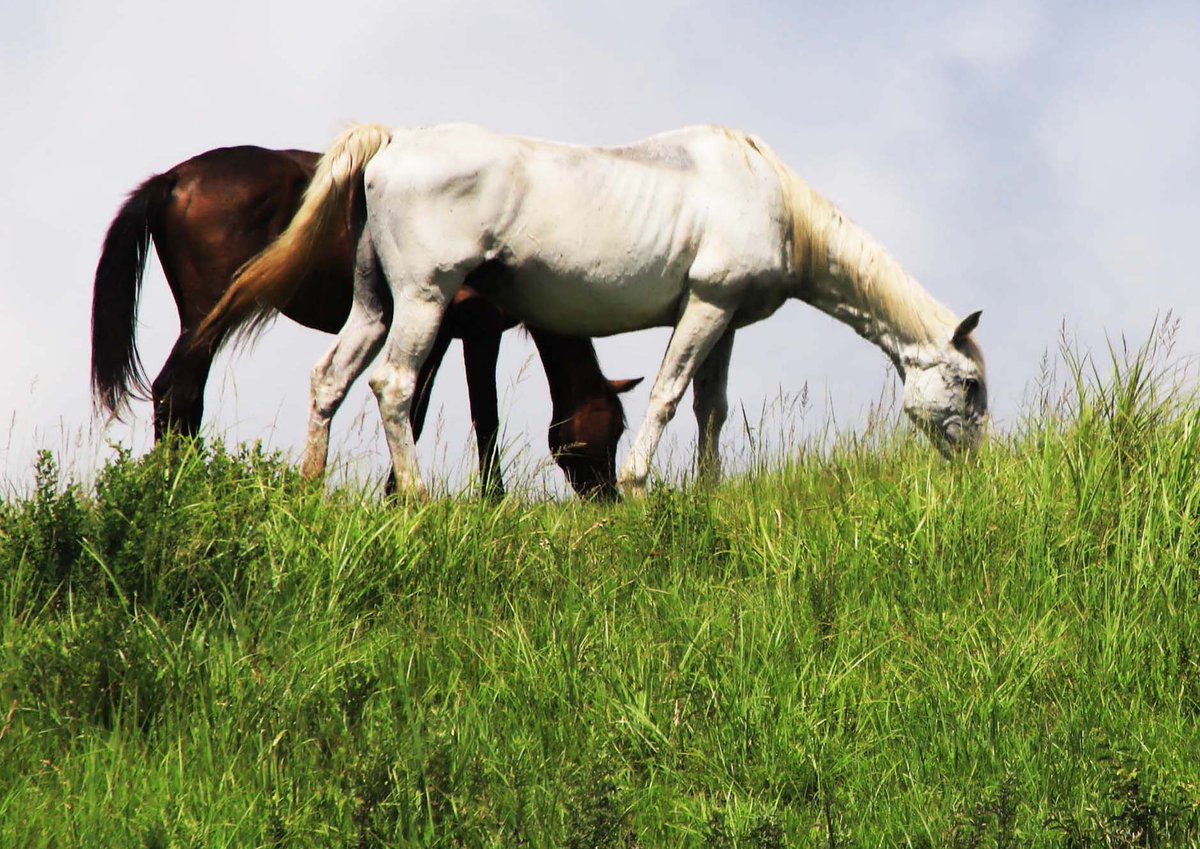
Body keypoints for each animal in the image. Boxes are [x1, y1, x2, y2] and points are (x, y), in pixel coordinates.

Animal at [90, 144, 641, 499]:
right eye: (613, 430)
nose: (609, 500)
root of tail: (173, 179)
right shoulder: (475, 330)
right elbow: (477, 417)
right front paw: (486, 500)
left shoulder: (447, 334)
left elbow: (429, 412)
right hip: (206, 319)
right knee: (177, 392)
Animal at [195, 123, 988, 497]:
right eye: (972, 386)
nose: (980, 464)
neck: (768, 196)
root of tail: (392, 144)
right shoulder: (705, 306)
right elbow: (669, 395)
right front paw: (639, 487)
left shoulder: (724, 319)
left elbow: (711, 409)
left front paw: (708, 489)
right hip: (423, 297)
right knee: (392, 386)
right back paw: (417, 498)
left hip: (374, 304)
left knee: (331, 379)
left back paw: (310, 487)